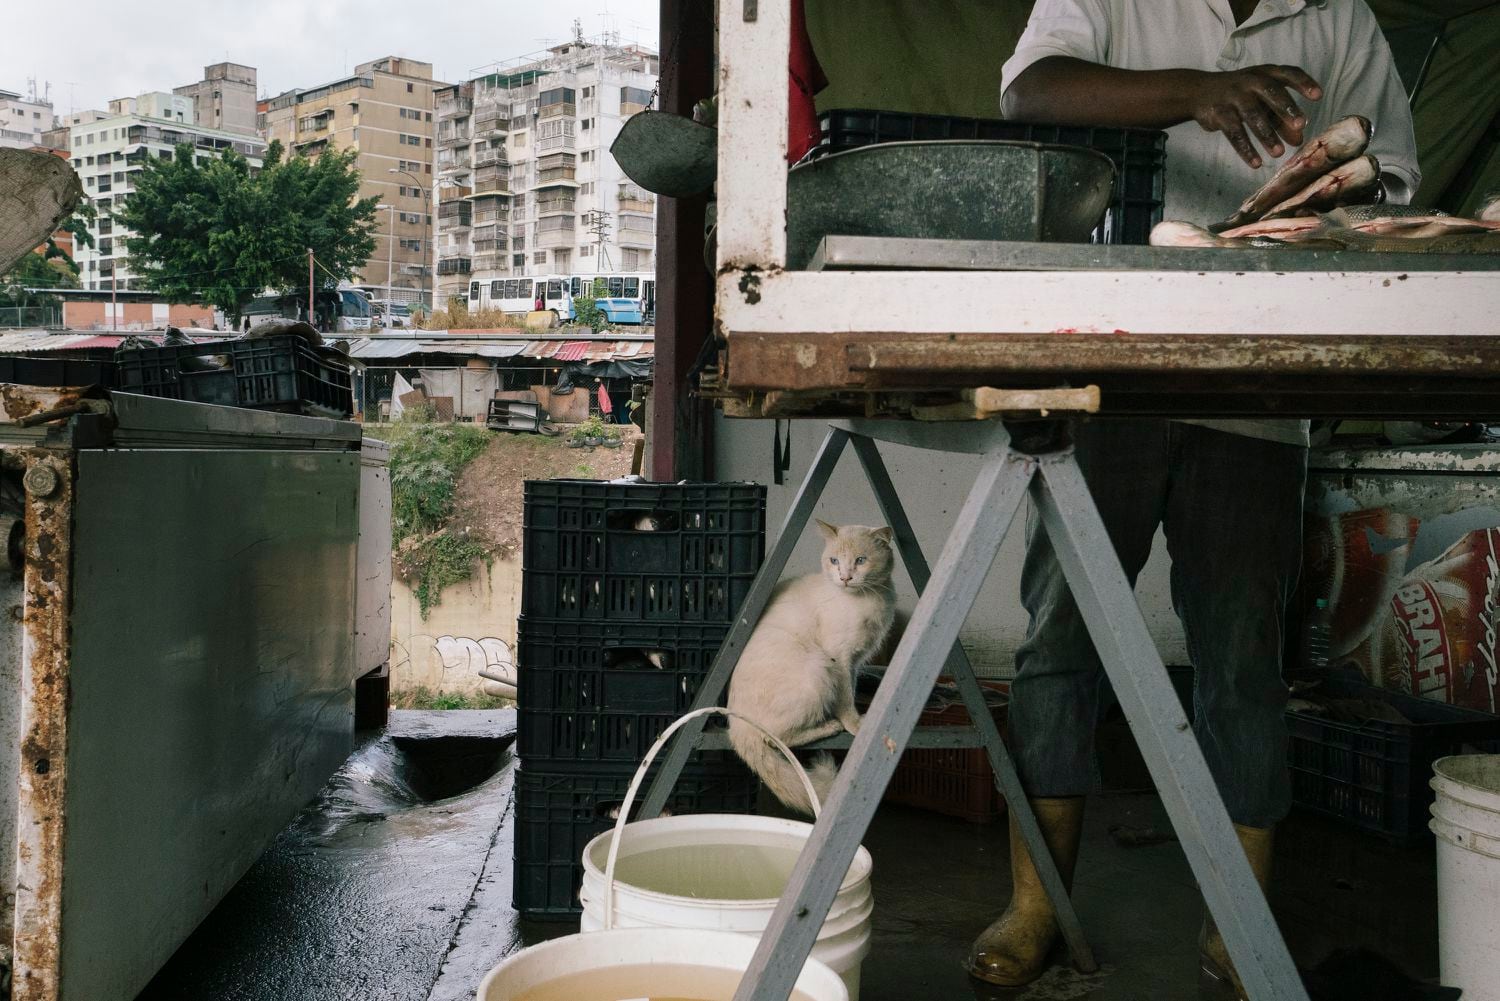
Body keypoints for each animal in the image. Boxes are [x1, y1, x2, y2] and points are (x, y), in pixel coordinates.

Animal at [729, 522, 894, 816]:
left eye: (860, 561)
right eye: (835, 561)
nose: (845, 577)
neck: (870, 598)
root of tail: (734, 725)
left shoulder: (855, 662)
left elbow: (852, 689)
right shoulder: (840, 659)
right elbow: (846, 700)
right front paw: (855, 725)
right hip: (818, 669)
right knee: (776, 738)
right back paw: (830, 726)